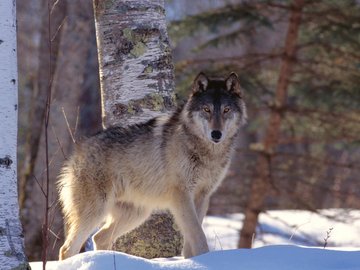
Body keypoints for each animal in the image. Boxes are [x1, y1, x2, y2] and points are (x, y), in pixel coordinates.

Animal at [57, 71, 248, 260]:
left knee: (99, 238)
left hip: (137, 214)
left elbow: (192, 239)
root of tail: (78, 149)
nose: (216, 134)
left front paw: (192, 261)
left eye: (226, 110)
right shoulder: (181, 195)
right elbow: (198, 235)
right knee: (67, 249)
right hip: (96, 212)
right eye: (206, 110)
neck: (207, 153)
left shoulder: (202, 196)